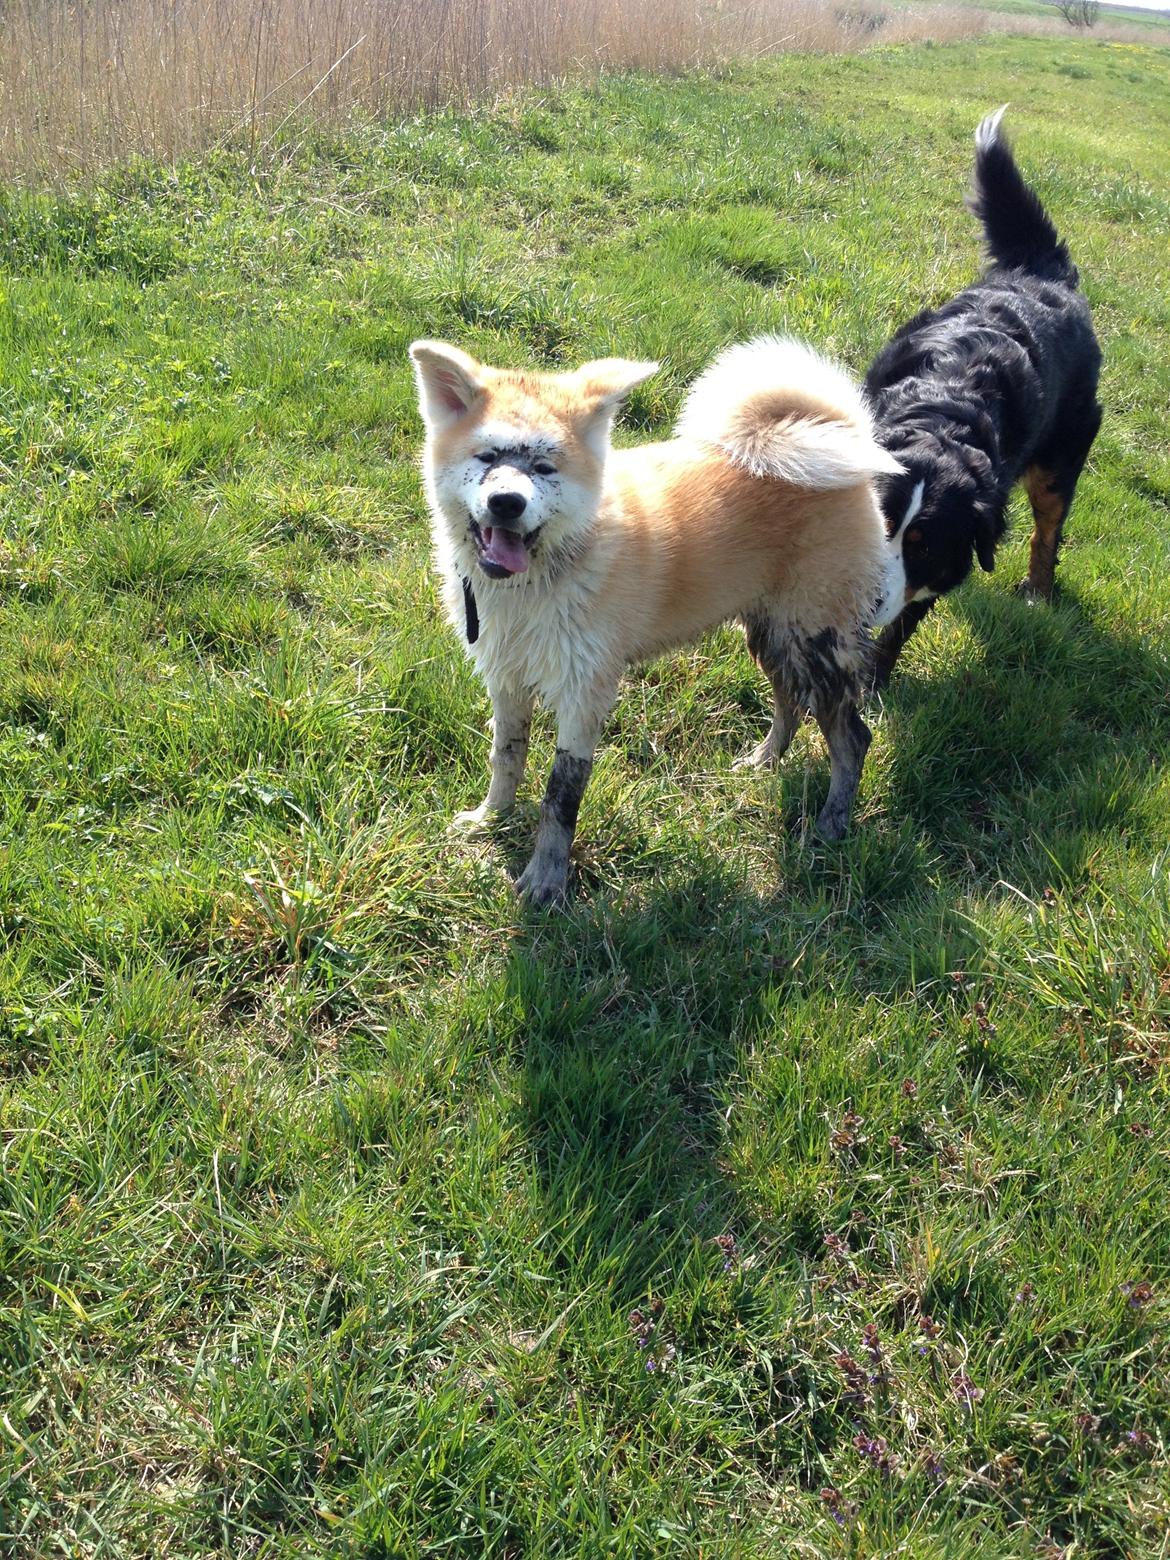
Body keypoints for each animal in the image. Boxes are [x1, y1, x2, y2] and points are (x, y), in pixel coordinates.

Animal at [408, 335, 904, 911]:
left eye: (547, 468)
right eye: (486, 456)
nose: (506, 502)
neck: (547, 572)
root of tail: (844, 449)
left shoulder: (584, 692)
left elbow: (561, 796)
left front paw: (546, 881)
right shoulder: (506, 678)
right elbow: (506, 757)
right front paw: (490, 819)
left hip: (816, 640)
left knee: (852, 740)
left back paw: (830, 826)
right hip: (772, 634)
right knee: (789, 700)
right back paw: (763, 761)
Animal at [873, 113, 1110, 686]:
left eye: (924, 547)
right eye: (880, 523)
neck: (944, 408)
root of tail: (1044, 273)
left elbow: (897, 625)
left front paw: (870, 681)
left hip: (1060, 458)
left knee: (1048, 530)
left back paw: (1037, 593)